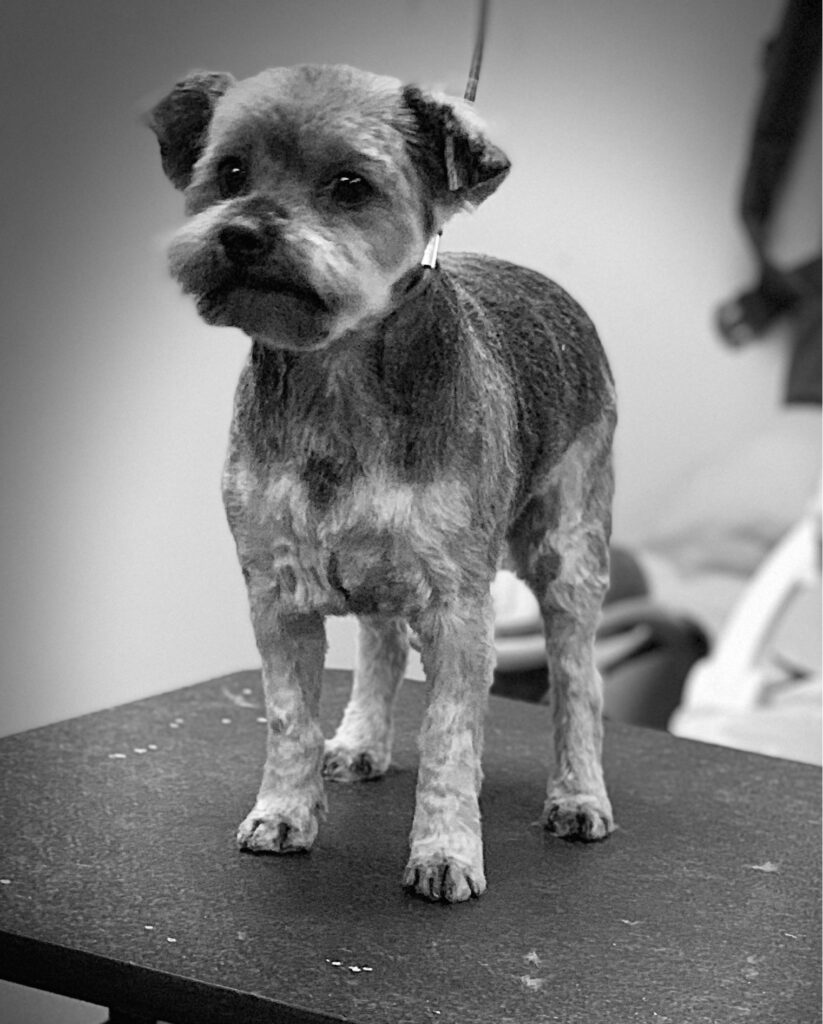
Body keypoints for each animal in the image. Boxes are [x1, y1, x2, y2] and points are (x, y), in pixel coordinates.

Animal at [147, 63, 616, 903]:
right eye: (229, 172)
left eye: (348, 185)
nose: (242, 233)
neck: (338, 368)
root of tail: (549, 287)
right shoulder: (276, 590)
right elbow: (288, 718)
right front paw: (284, 813)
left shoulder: (458, 607)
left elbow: (451, 738)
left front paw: (446, 853)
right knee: (381, 642)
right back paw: (362, 739)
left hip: (569, 549)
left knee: (576, 681)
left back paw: (577, 796)